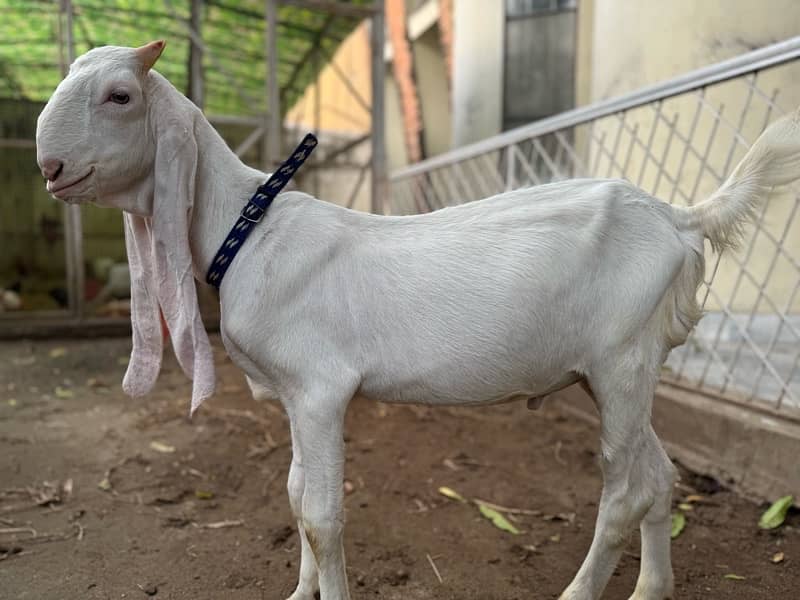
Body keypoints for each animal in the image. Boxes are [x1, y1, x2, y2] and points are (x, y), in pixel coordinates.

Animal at [37, 39, 800, 596]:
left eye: (120, 95)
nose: (49, 167)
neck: (247, 227)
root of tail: (678, 217)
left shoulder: (320, 391)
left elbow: (321, 516)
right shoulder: (291, 396)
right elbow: (294, 497)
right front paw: (299, 592)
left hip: (622, 361)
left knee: (626, 490)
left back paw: (581, 592)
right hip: (615, 371)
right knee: (662, 476)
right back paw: (651, 589)